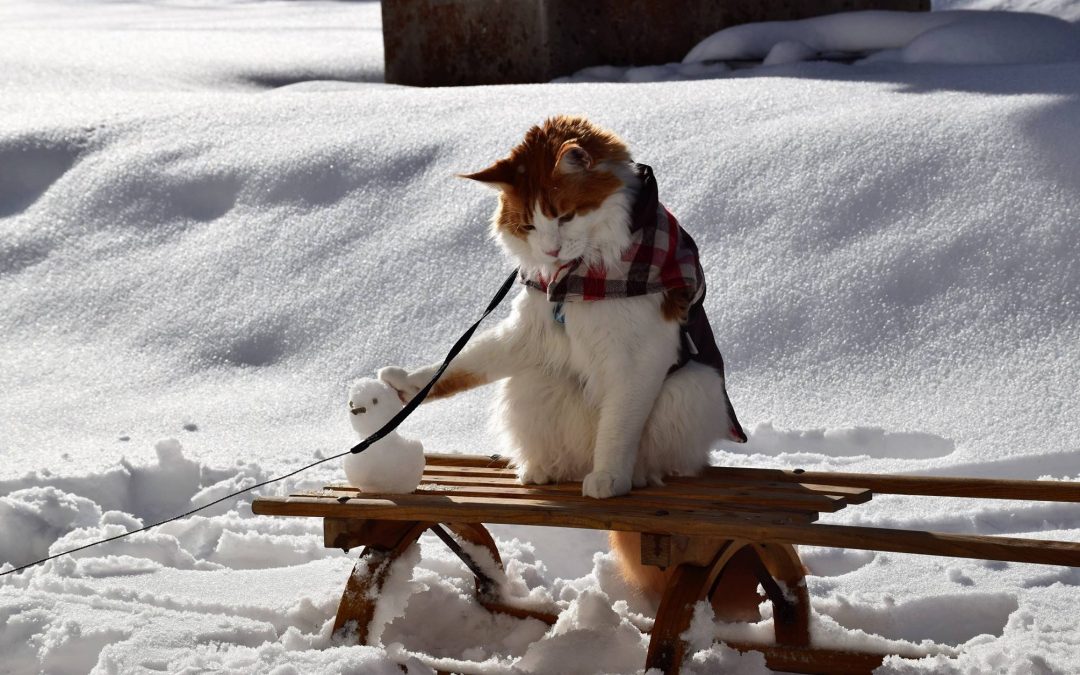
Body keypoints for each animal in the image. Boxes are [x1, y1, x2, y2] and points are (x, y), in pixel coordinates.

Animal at [382, 113, 751, 596]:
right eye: (528, 226)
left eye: (565, 215)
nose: (551, 250)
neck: (579, 279)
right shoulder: (532, 332)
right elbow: (466, 364)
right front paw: (408, 385)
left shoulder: (638, 359)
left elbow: (619, 428)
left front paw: (610, 477)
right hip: (539, 381)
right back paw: (544, 469)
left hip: (690, 387)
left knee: (666, 457)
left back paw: (636, 474)